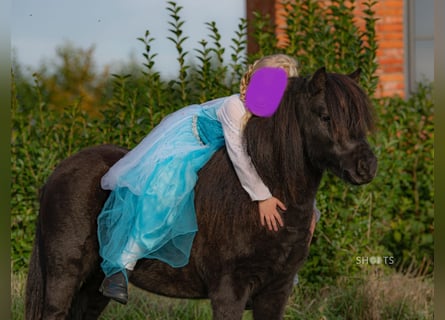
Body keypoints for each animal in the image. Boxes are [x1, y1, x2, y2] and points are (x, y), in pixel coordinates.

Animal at [26, 66, 376, 318]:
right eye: (325, 115)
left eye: (360, 117)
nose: (367, 166)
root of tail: (58, 173)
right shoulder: (228, 291)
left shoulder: (276, 292)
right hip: (64, 275)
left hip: (92, 285)